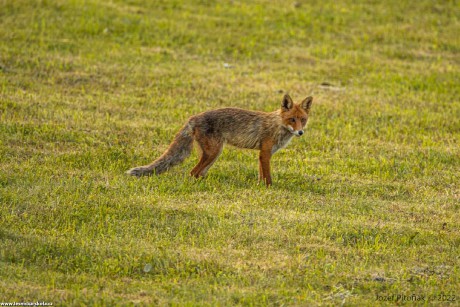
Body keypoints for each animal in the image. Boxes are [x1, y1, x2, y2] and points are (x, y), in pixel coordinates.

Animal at [126, 94, 312, 185]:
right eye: (292, 120)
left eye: (303, 120)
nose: (300, 132)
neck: (278, 125)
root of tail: (193, 118)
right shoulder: (265, 152)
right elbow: (268, 178)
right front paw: (269, 189)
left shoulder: (263, 154)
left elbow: (261, 175)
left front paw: (260, 187)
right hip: (214, 152)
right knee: (193, 172)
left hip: (212, 155)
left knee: (198, 173)